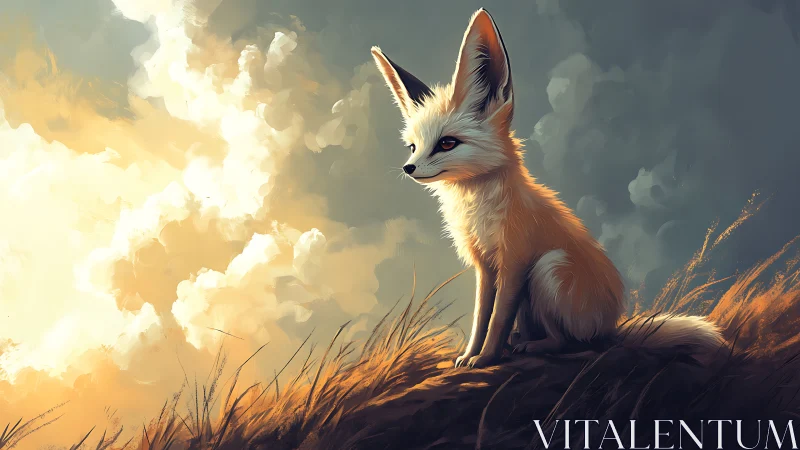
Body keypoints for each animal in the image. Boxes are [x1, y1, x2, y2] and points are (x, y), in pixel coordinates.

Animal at [371, 8, 725, 368]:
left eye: (446, 143)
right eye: (413, 146)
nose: (409, 168)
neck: (478, 209)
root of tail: (612, 327)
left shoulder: (515, 262)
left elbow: (497, 318)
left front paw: (485, 359)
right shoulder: (485, 267)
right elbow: (481, 317)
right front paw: (471, 354)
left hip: (546, 269)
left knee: (569, 342)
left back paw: (535, 346)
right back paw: (521, 341)